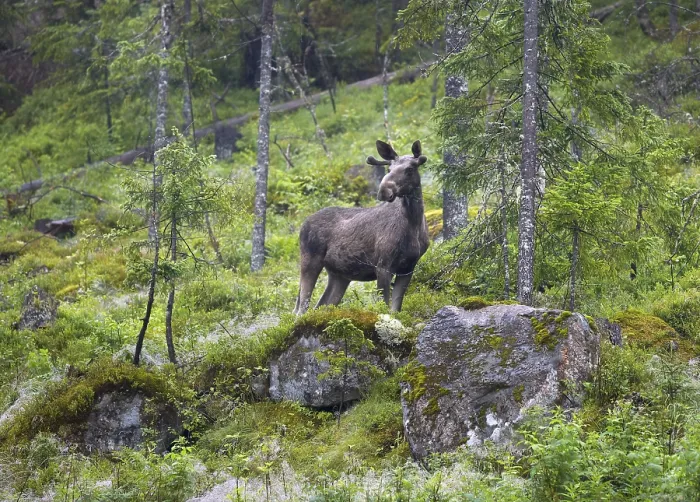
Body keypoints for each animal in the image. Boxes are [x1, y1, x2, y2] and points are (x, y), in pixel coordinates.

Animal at [293, 139, 430, 315]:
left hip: (339, 275)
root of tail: (302, 225)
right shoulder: (383, 265)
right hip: (309, 260)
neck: (414, 224)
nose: (384, 191)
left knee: (320, 306)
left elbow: (395, 309)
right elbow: (384, 306)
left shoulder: (408, 267)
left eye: (409, 169)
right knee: (300, 309)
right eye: (389, 169)